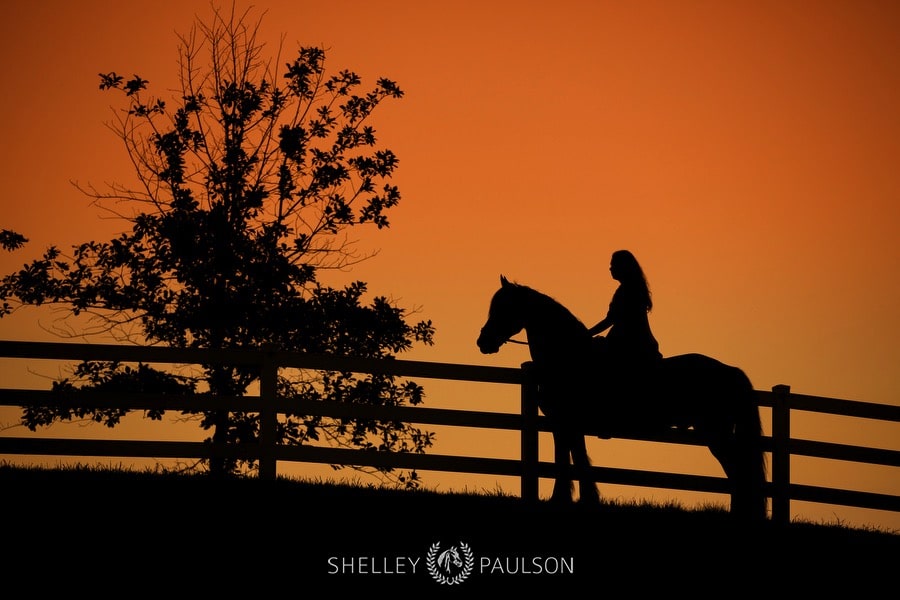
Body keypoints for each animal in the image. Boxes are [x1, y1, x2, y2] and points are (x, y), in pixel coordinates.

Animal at [478, 276, 768, 520]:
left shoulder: (568, 422)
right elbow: (571, 459)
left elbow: (573, 461)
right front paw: (573, 500)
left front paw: (575, 500)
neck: (570, 358)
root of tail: (730, 370)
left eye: (503, 307)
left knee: (738, 469)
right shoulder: (565, 425)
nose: (482, 341)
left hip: (715, 432)